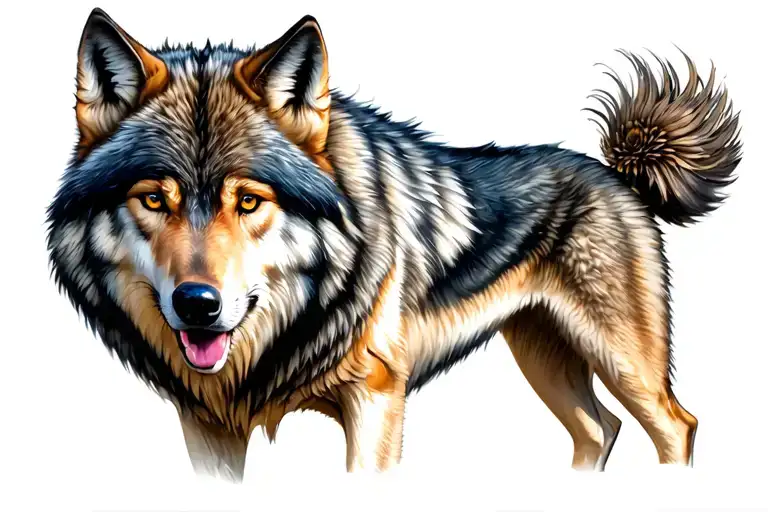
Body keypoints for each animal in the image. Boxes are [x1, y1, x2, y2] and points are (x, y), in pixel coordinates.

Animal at [47, 8, 741, 481]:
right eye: (153, 200)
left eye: (248, 201)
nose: (198, 305)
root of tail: (615, 171)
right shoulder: (206, 424)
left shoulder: (377, 398)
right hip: (543, 356)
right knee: (600, 430)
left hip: (623, 363)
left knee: (675, 426)